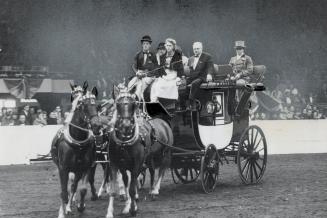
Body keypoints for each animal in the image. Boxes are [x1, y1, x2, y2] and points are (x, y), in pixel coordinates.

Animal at [50, 82, 99, 217]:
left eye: (97, 105)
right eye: (83, 106)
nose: (97, 125)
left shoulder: (85, 167)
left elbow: (82, 189)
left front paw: (81, 206)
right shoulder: (63, 169)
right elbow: (63, 192)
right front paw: (63, 211)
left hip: (78, 170)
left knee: (74, 186)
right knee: (67, 189)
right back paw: (66, 207)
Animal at [105, 85, 174, 218]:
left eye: (133, 104)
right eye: (118, 104)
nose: (126, 125)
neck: (124, 142)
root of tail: (162, 122)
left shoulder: (136, 164)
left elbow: (132, 188)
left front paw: (133, 208)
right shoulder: (116, 164)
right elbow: (117, 188)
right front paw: (114, 210)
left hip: (165, 153)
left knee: (161, 170)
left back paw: (155, 190)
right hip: (149, 157)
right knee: (151, 171)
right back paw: (150, 191)